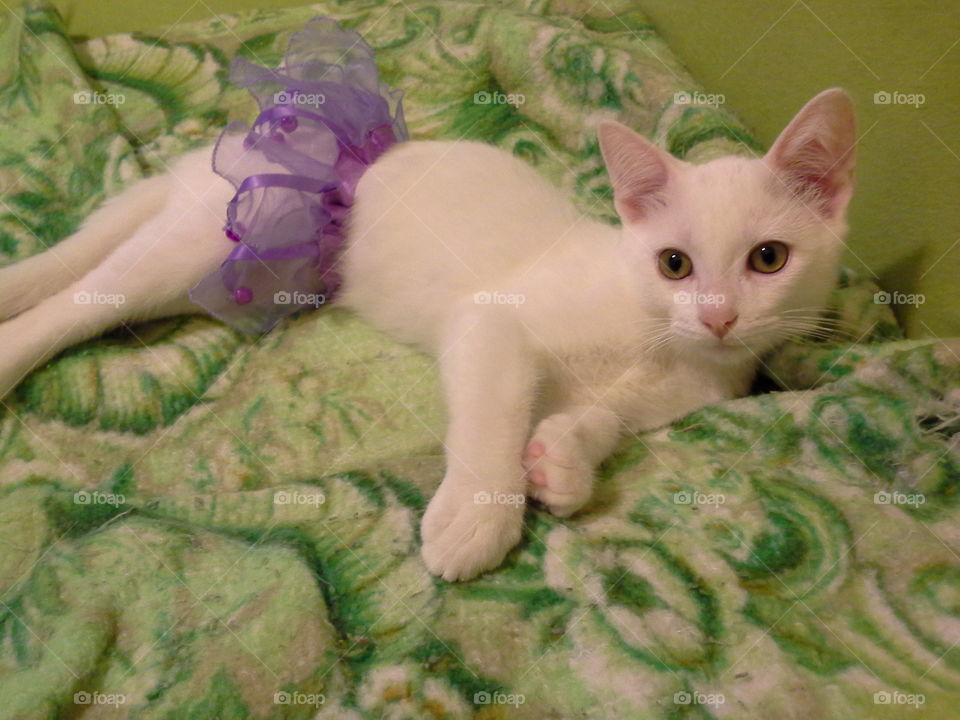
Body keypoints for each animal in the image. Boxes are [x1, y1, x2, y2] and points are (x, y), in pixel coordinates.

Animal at [0, 88, 856, 580]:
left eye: (769, 259)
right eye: (675, 263)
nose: (719, 315)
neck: (658, 343)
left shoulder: (667, 393)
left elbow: (603, 419)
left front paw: (562, 461)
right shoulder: (491, 322)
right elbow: (493, 414)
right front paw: (479, 516)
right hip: (206, 248)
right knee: (76, 298)